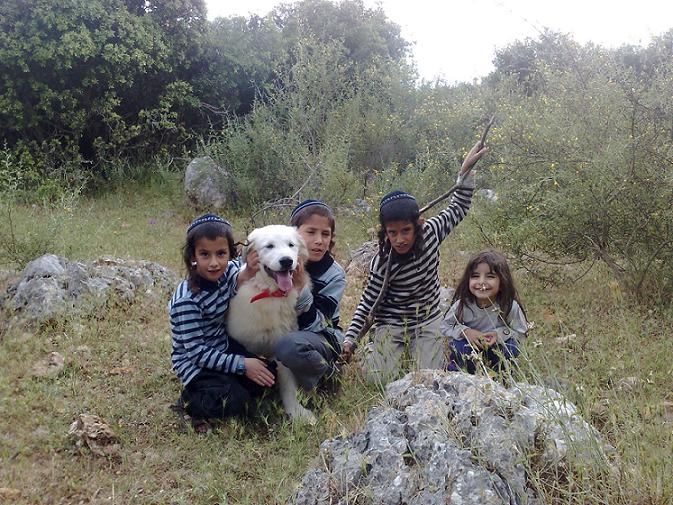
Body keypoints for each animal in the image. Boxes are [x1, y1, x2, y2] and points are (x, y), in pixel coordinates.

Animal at [227, 224, 315, 422]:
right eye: (269, 246)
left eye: (291, 245)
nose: (287, 261)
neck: (271, 294)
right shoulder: (242, 342)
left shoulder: (280, 347)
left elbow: (288, 385)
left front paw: (296, 412)